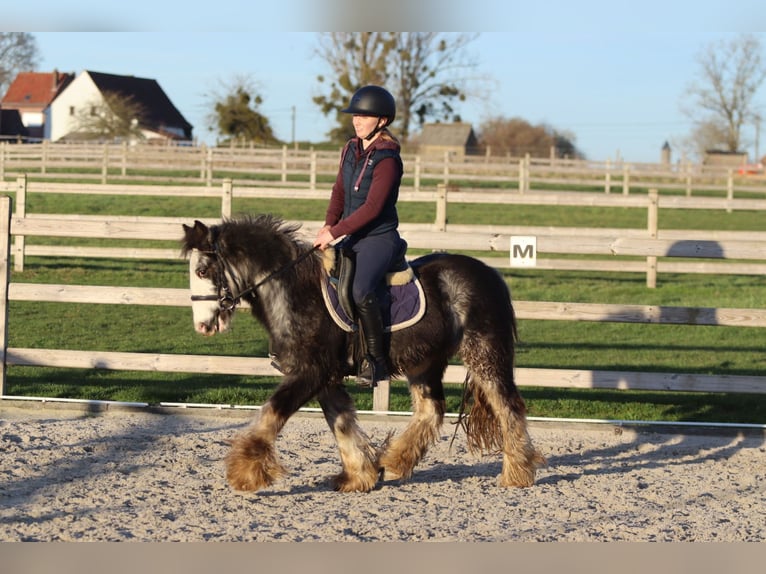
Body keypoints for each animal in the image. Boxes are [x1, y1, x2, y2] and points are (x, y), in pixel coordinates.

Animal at [181, 214, 545, 493]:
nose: (201, 326)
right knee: (431, 411)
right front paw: (360, 475)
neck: (294, 291)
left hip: (484, 353)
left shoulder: (309, 373)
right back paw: (394, 460)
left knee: (509, 406)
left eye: (202, 271)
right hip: (424, 362)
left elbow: (271, 413)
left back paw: (517, 472)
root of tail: (490, 274)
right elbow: (341, 424)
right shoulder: (325, 378)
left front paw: (244, 472)